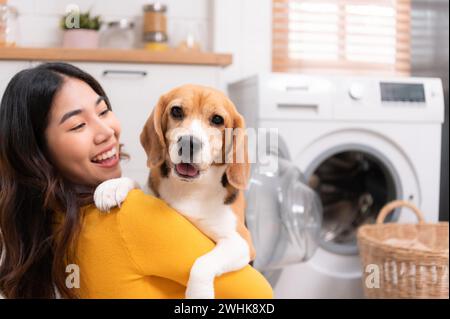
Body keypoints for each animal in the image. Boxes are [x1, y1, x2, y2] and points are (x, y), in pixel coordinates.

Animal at [94, 85, 256, 300]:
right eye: (176, 111)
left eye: (217, 120)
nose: (189, 143)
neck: (189, 189)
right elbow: (136, 184)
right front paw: (112, 187)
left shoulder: (241, 241)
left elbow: (202, 264)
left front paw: (198, 294)